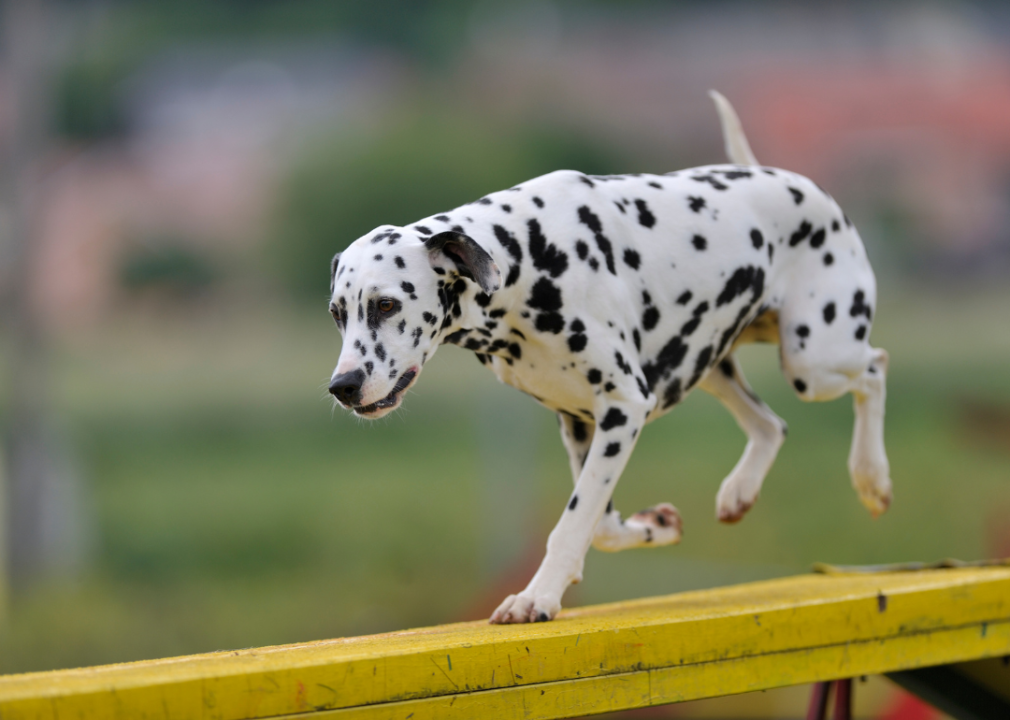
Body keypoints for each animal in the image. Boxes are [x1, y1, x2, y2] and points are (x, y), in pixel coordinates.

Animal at [325, 92, 892, 622]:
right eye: (337, 313)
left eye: (386, 304)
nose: (342, 387)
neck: (526, 257)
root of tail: (791, 180)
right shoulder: (581, 420)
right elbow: (602, 525)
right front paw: (654, 525)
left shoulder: (624, 405)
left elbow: (575, 521)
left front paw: (537, 597)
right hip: (706, 364)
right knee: (771, 425)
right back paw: (741, 490)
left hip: (813, 359)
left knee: (874, 367)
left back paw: (871, 477)